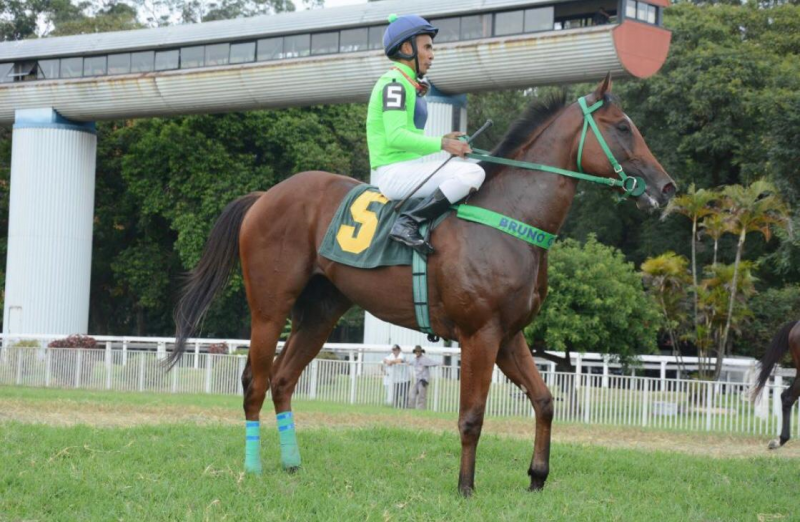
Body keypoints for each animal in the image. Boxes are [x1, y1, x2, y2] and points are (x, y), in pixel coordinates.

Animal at [169, 75, 676, 494]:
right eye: (623, 127)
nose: (667, 188)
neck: (507, 219)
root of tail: (266, 195)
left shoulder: (510, 335)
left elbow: (545, 400)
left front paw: (537, 476)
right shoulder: (479, 334)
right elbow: (471, 416)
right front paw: (466, 487)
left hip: (318, 315)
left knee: (282, 380)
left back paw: (292, 464)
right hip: (269, 308)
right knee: (254, 383)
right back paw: (253, 468)